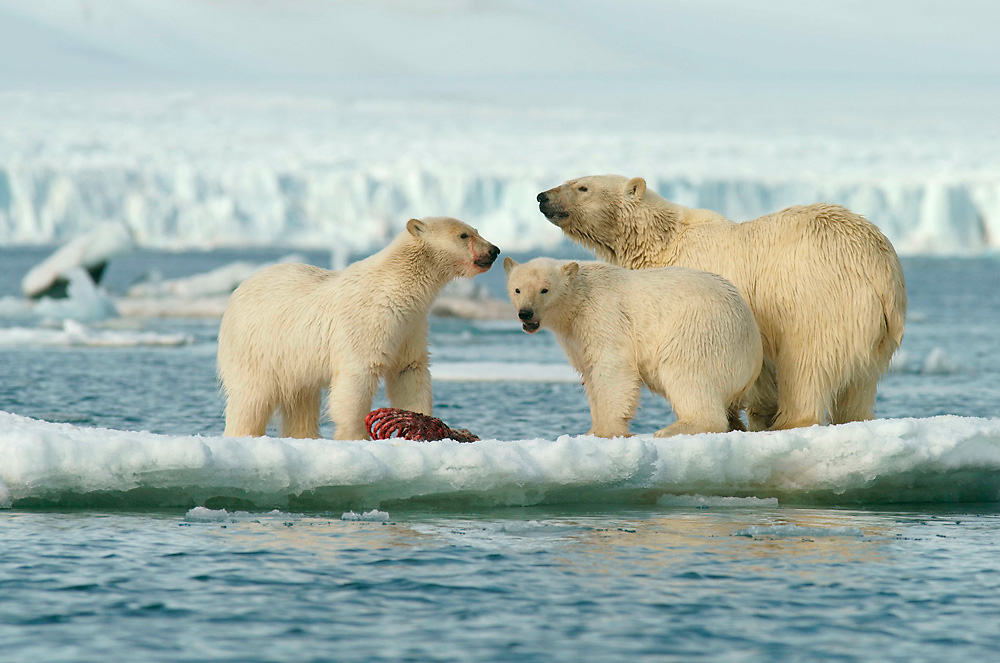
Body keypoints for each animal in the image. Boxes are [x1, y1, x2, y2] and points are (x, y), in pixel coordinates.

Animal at [219, 218, 500, 440]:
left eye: (476, 229)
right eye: (463, 235)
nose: (494, 250)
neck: (397, 289)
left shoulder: (411, 326)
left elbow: (409, 371)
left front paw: (422, 422)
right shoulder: (367, 323)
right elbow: (356, 380)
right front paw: (355, 437)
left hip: (294, 359)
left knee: (301, 400)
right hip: (256, 346)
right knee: (251, 398)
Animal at [504, 256, 760, 438]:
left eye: (544, 289)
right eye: (517, 289)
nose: (525, 313)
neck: (579, 298)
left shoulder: (603, 316)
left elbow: (613, 369)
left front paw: (607, 431)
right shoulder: (575, 337)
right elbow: (590, 374)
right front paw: (591, 430)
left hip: (699, 331)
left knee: (688, 375)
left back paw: (671, 429)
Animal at [540, 176, 908, 434]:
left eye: (582, 186)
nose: (542, 196)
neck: (662, 242)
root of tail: (881, 269)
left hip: (818, 297)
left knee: (806, 361)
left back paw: (790, 421)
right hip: (878, 330)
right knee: (860, 384)